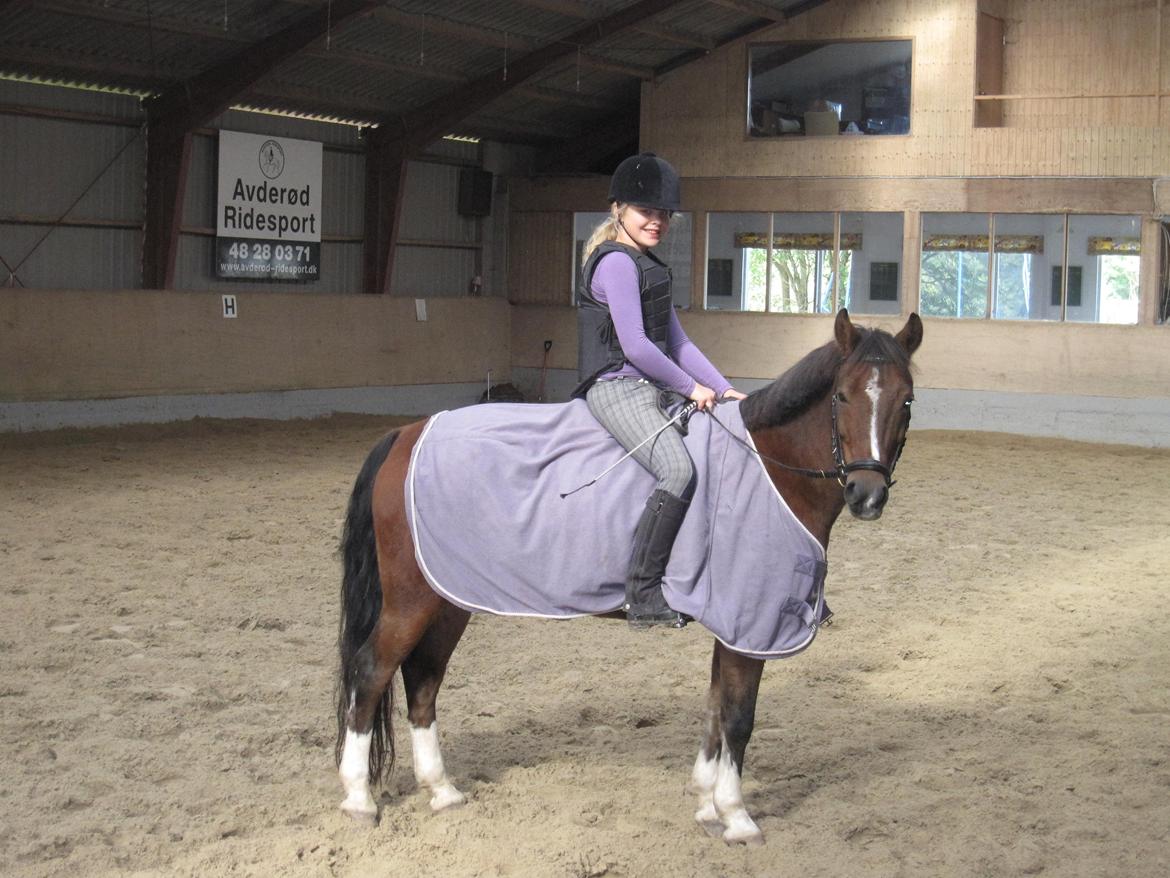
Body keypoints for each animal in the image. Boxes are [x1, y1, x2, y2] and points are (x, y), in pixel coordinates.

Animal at [336, 309, 921, 847]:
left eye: (907, 400)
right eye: (842, 397)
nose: (867, 496)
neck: (770, 468)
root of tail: (408, 434)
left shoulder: (729, 623)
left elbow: (714, 710)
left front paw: (706, 802)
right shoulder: (748, 626)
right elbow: (738, 718)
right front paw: (736, 816)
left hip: (448, 597)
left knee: (424, 679)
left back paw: (442, 790)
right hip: (411, 600)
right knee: (372, 671)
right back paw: (360, 799)